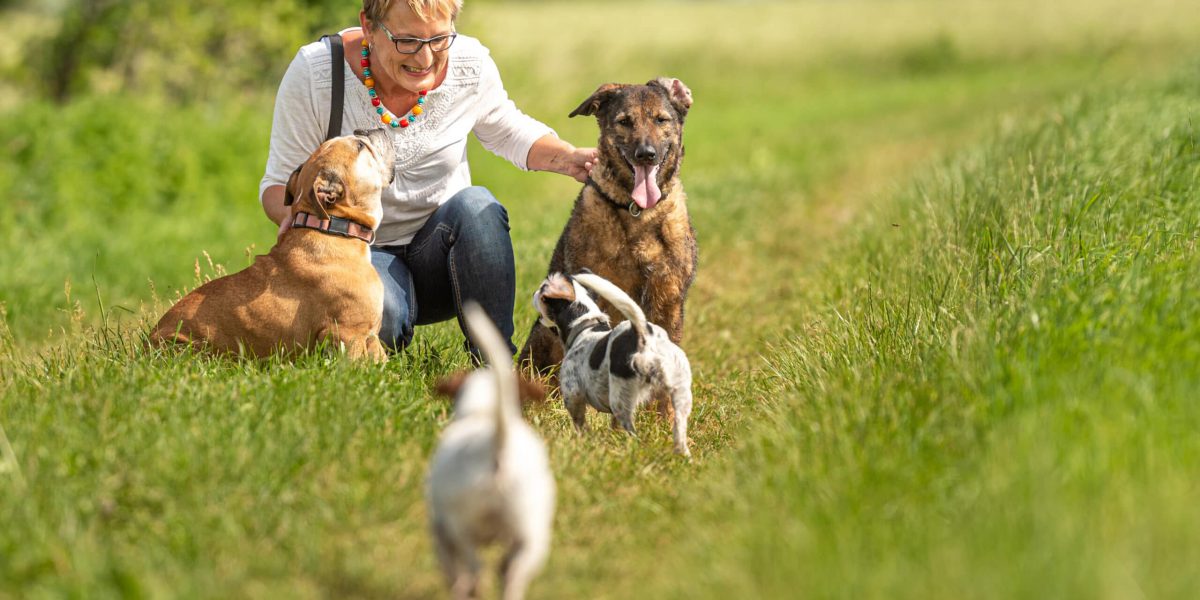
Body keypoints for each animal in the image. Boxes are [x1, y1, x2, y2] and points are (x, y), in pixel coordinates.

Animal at [149, 129, 393, 360]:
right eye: (360, 146)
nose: (364, 130)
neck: (334, 226)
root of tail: (147, 345)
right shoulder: (348, 334)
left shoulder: (370, 337)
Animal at [427, 304, 552, 600]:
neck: (483, 411)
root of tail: (498, 444)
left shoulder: (442, 529)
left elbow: (451, 566)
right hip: (532, 533)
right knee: (511, 573)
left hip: (463, 526)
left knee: (476, 568)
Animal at [535, 272, 696, 453]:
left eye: (543, 291)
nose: (535, 292)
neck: (585, 326)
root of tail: (645, 337)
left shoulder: (572, 395)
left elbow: (580, 424)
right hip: (680, 396)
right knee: (678, 432)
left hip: (620, 400)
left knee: (632, 432)